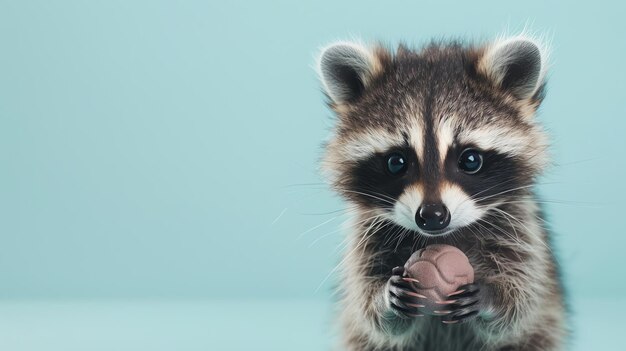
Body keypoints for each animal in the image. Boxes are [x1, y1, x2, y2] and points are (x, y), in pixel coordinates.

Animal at [316, 36, 564, 351]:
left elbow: (520, 303)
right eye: (396, 162)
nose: (432, 216)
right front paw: (384, 299)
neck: (443, 236)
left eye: (470, 160)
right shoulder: (366, 234)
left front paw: (492, 299)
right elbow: (372, 315)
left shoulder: (520, 227)